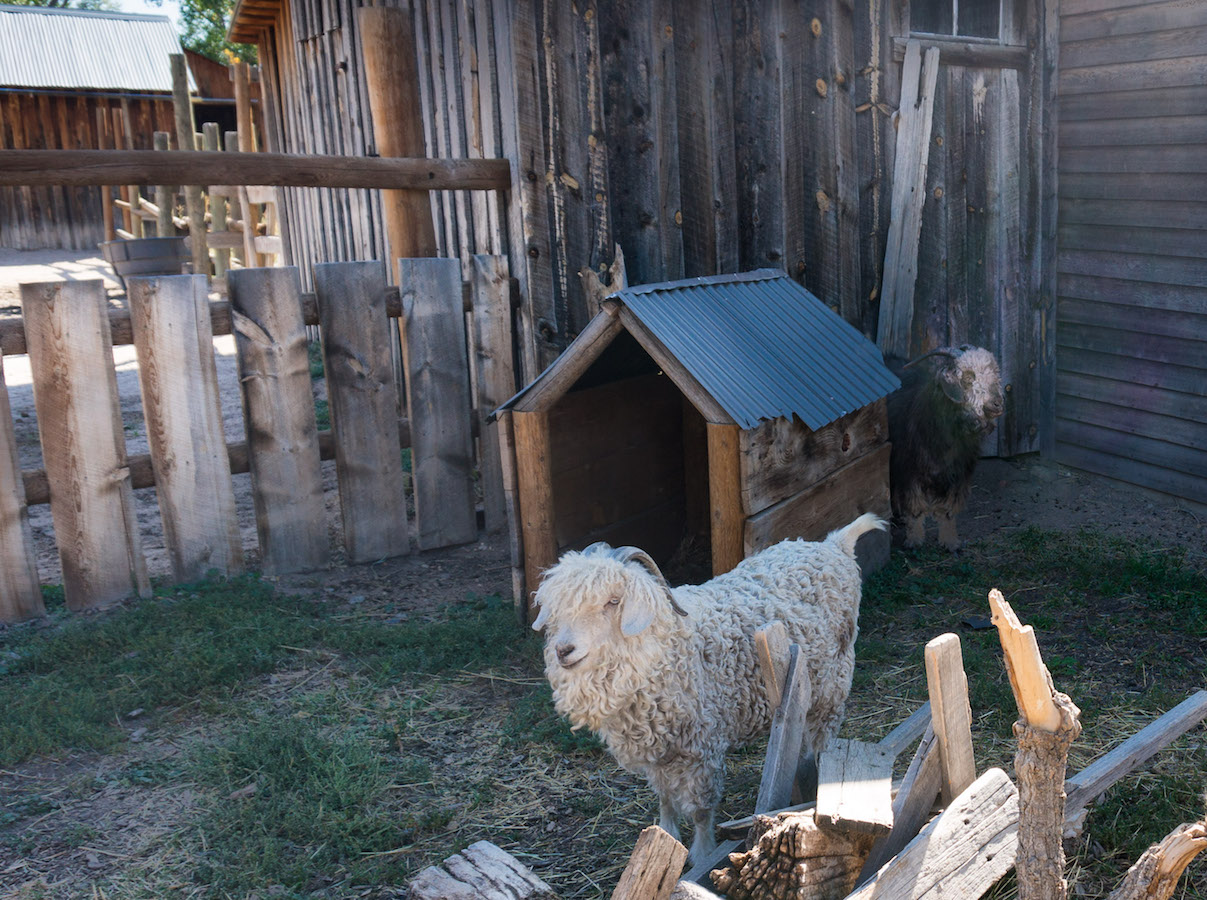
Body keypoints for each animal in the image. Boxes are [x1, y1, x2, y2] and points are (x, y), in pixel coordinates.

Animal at [533, 511, 883, 854]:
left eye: (613, 601)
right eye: (558, 606)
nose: (563, 650)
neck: (668, 648)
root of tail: (834, 545)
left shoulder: (703, 745)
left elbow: (701, 809)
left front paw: (701, 854)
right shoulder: (660, 749)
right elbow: (665, 798)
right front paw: (664, 837)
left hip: (834, 682)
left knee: (823, 738)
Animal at [883, 345, 1004, 547]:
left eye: (995, 373)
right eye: (968, 377)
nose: (997, 403)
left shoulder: (958, 474)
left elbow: (948, 510)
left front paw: (951, 542)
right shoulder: (909, 470)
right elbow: (915, 508)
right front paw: (914, 541)